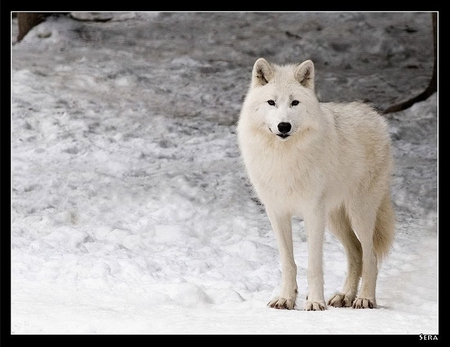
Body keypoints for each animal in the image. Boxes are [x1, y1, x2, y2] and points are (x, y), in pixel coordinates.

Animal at [237, 58, 396, 312]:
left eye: (294, 103)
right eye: (271, 102)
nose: (284, 126)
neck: (284, 157)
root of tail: (375, 115)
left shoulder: (313, 213)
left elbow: (313, 265)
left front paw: (314, 302)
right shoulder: (277, 212)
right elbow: (288, 263)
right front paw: (286, 299)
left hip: (358, 213)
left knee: (370, 257)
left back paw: (365, 299)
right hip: (335, 219)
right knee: (356, 254)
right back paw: (344, 296)